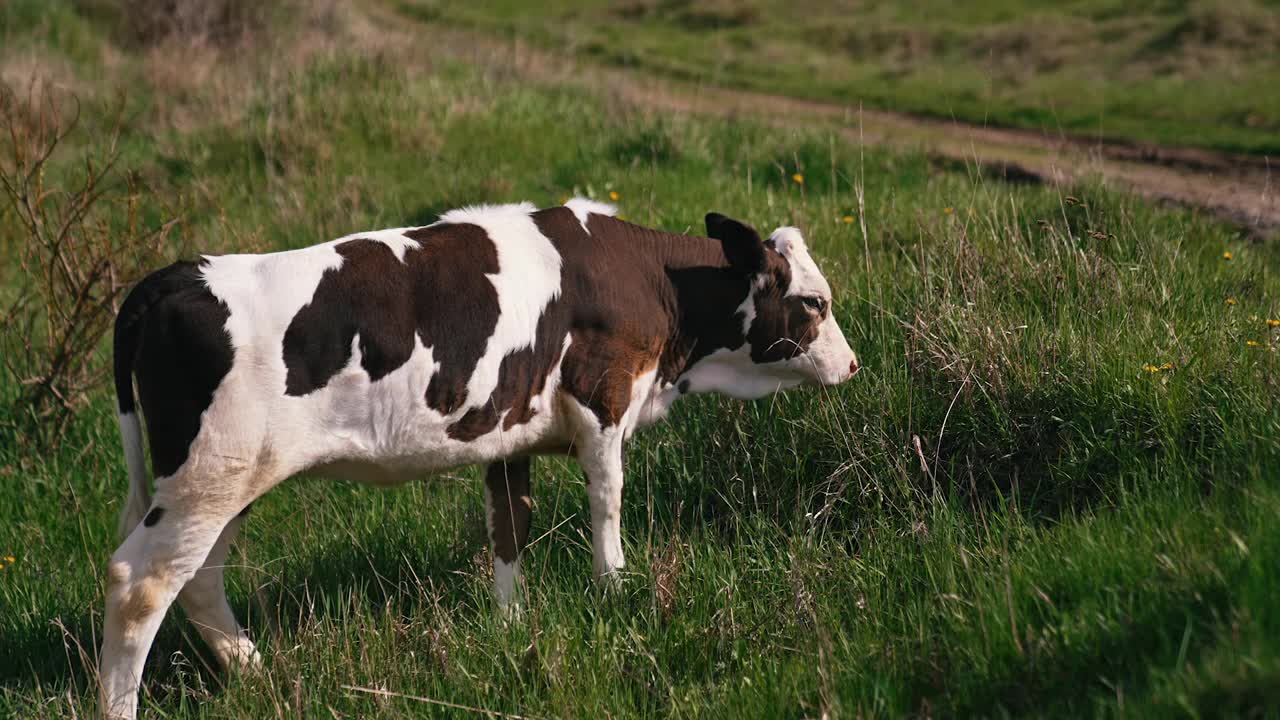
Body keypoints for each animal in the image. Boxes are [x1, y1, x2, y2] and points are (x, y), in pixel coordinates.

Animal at [102, 197, 860, 717]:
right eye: (814, 302)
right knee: (140, 586)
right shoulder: (604, 401)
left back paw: (260, 671)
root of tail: (173, 276)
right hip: (209, 477)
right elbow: (607, 501)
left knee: (200, 579)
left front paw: (510, 623)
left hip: (220, 481)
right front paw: (616, 587)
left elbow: (509, 528)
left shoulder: (508, 429)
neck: (653, 282)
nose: (852, 364)